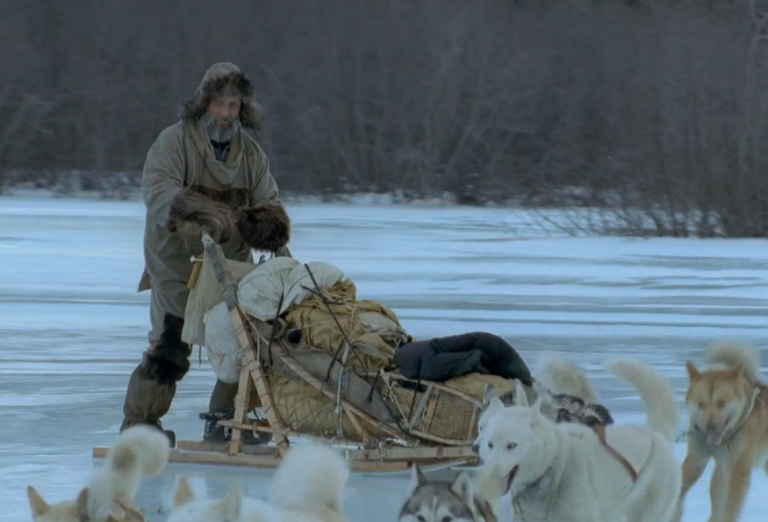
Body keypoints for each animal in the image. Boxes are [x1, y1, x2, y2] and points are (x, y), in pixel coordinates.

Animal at [676, 342, 768, 520]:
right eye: (701, 404)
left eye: (722, 403)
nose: (710, 427)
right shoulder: (697, 458)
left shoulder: (739, 468)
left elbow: (730, 509)